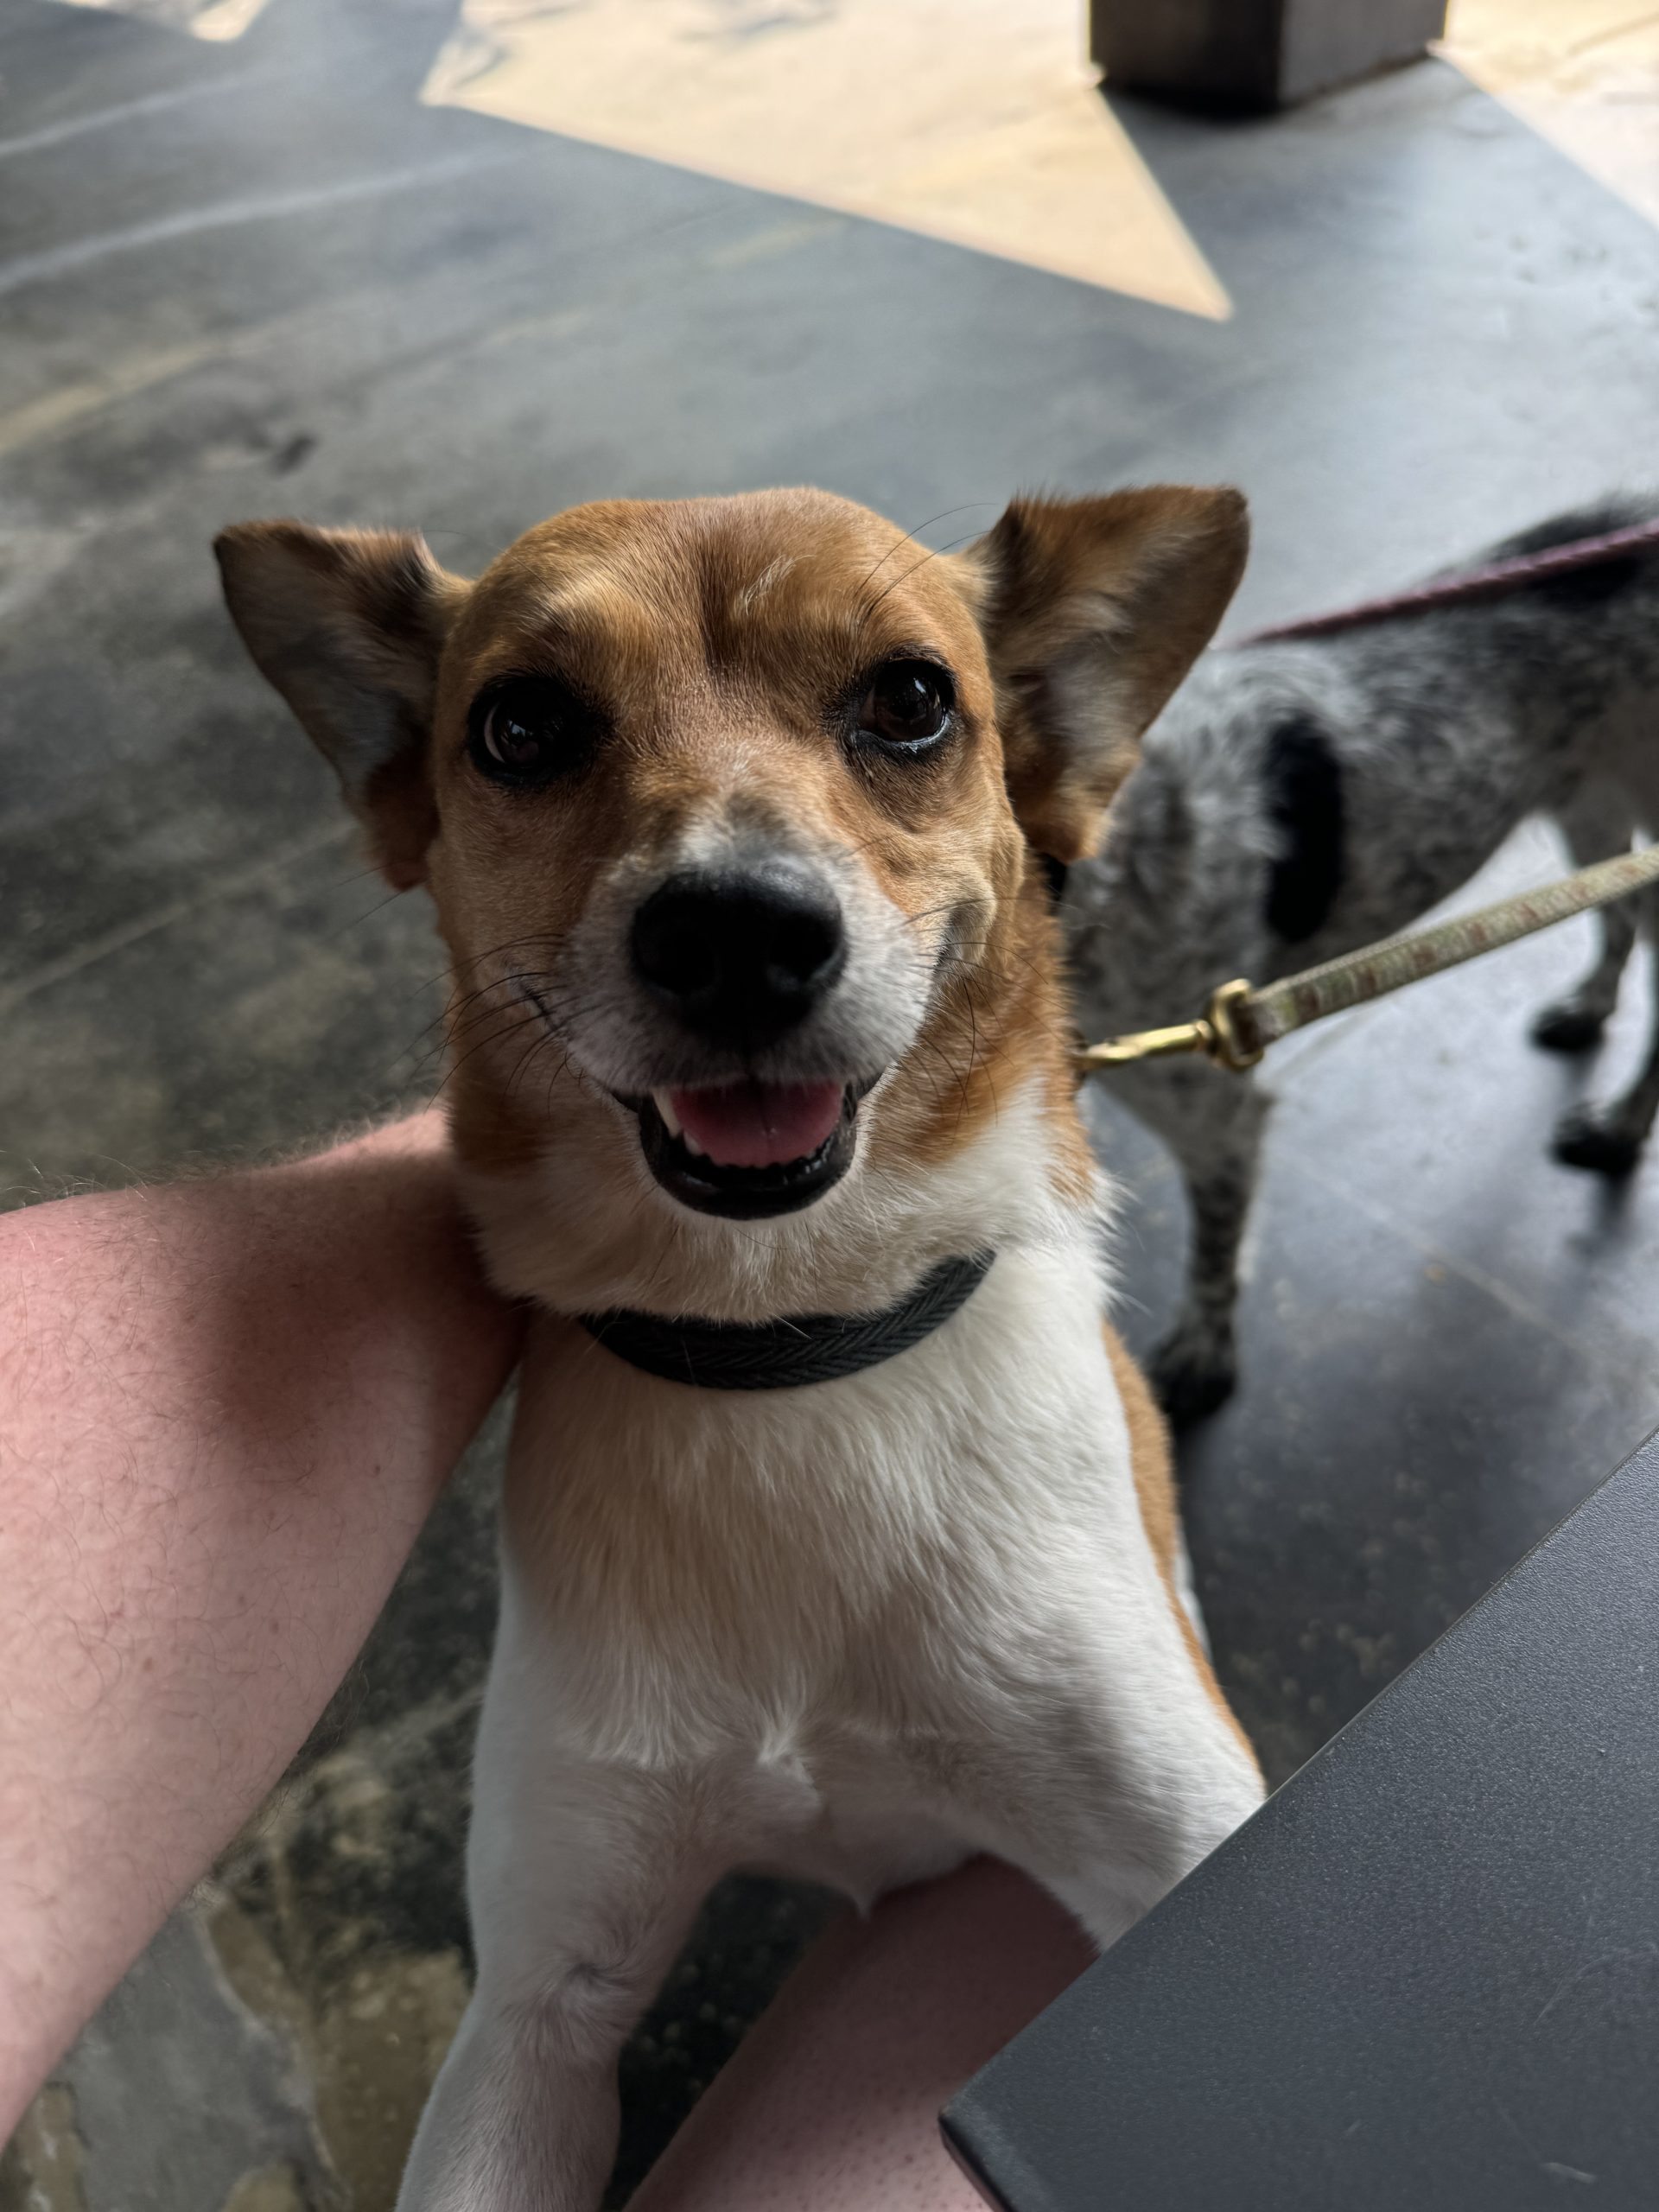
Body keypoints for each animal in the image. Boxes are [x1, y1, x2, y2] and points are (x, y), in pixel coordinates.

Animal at [218, 488, 1256, 2212]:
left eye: (910, 701)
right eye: (521, 726)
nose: (734, 933)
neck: (793, 1347)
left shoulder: (1181, 1857)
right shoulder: (541, 2008)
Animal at [1065, 495, 1659, 1424]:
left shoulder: (1215, 1110)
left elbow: (1213, 1248)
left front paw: (1203, 1353)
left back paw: (1619, 1130)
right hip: (1590, 796)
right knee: (1615, 913)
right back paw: (1587, 1009)